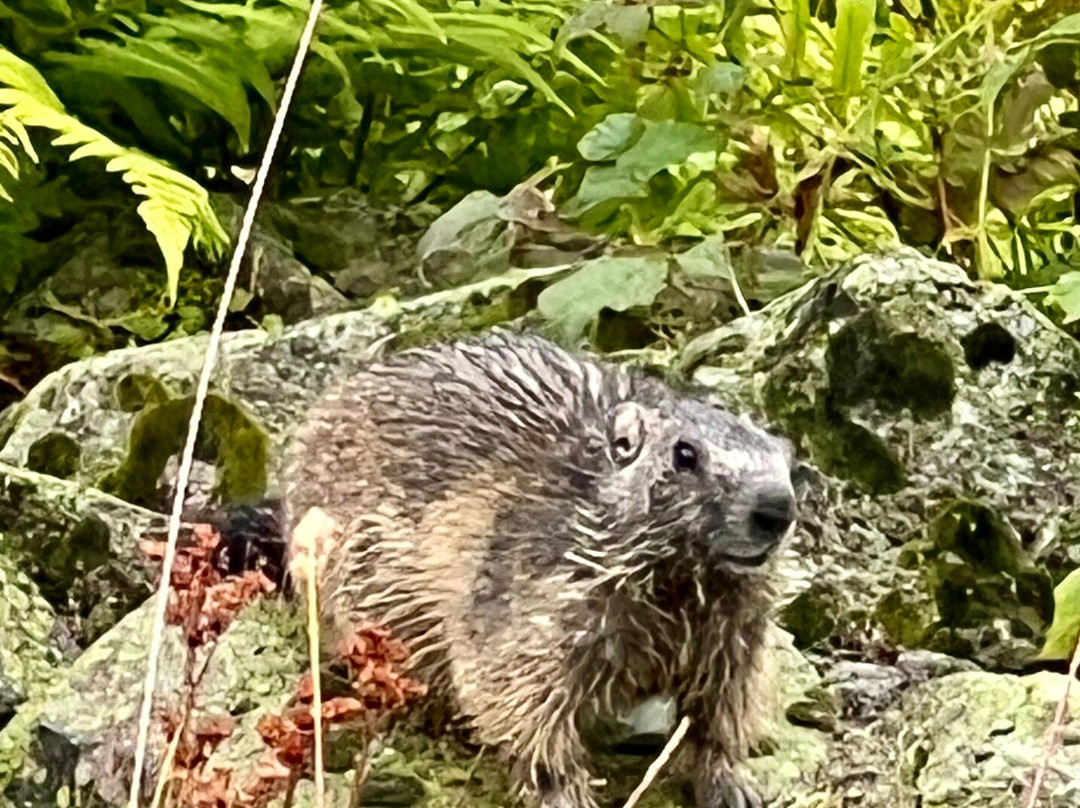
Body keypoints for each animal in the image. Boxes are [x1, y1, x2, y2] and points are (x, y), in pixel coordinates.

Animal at [281, 330, 796, 808]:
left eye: (788, 458)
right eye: (685, 454)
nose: (777, 507)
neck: (686, 581)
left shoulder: (739, 633)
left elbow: (725, 704)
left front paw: (732, 782)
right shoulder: (537, 598)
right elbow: (524, 700)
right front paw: (563, 791)